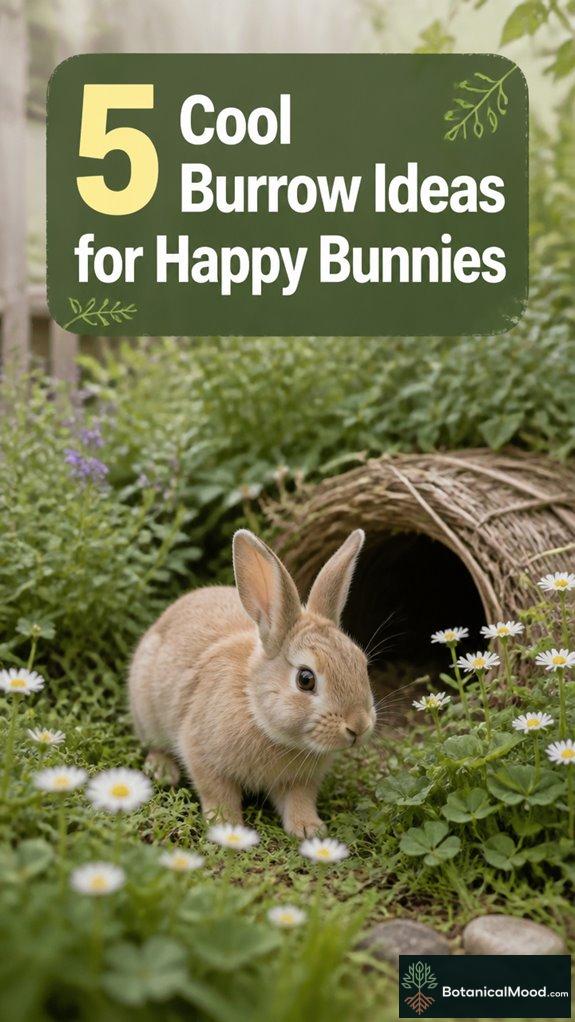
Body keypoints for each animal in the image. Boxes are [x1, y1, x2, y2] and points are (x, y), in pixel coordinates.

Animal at [128, 528, 375, 838]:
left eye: (361, 663)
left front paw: (309, 829)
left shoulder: (300, 781)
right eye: (305, 679)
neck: (257, 712)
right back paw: (162, 770)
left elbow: (299, 800)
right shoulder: (201, 753)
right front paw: (227, 827)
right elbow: (217, 792)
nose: (359, 727)